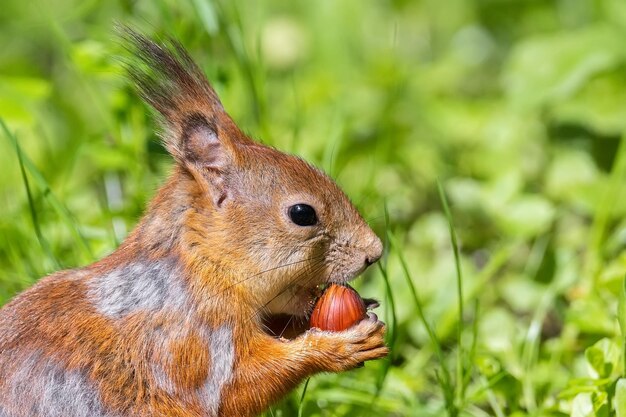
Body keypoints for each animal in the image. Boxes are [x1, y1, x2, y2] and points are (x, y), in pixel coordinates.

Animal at [0, 29, 386, 416]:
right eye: (302, 214)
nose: (375, 252)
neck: (203, 263)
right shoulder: (191, 335)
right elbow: (237, 386)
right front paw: (336, 346)